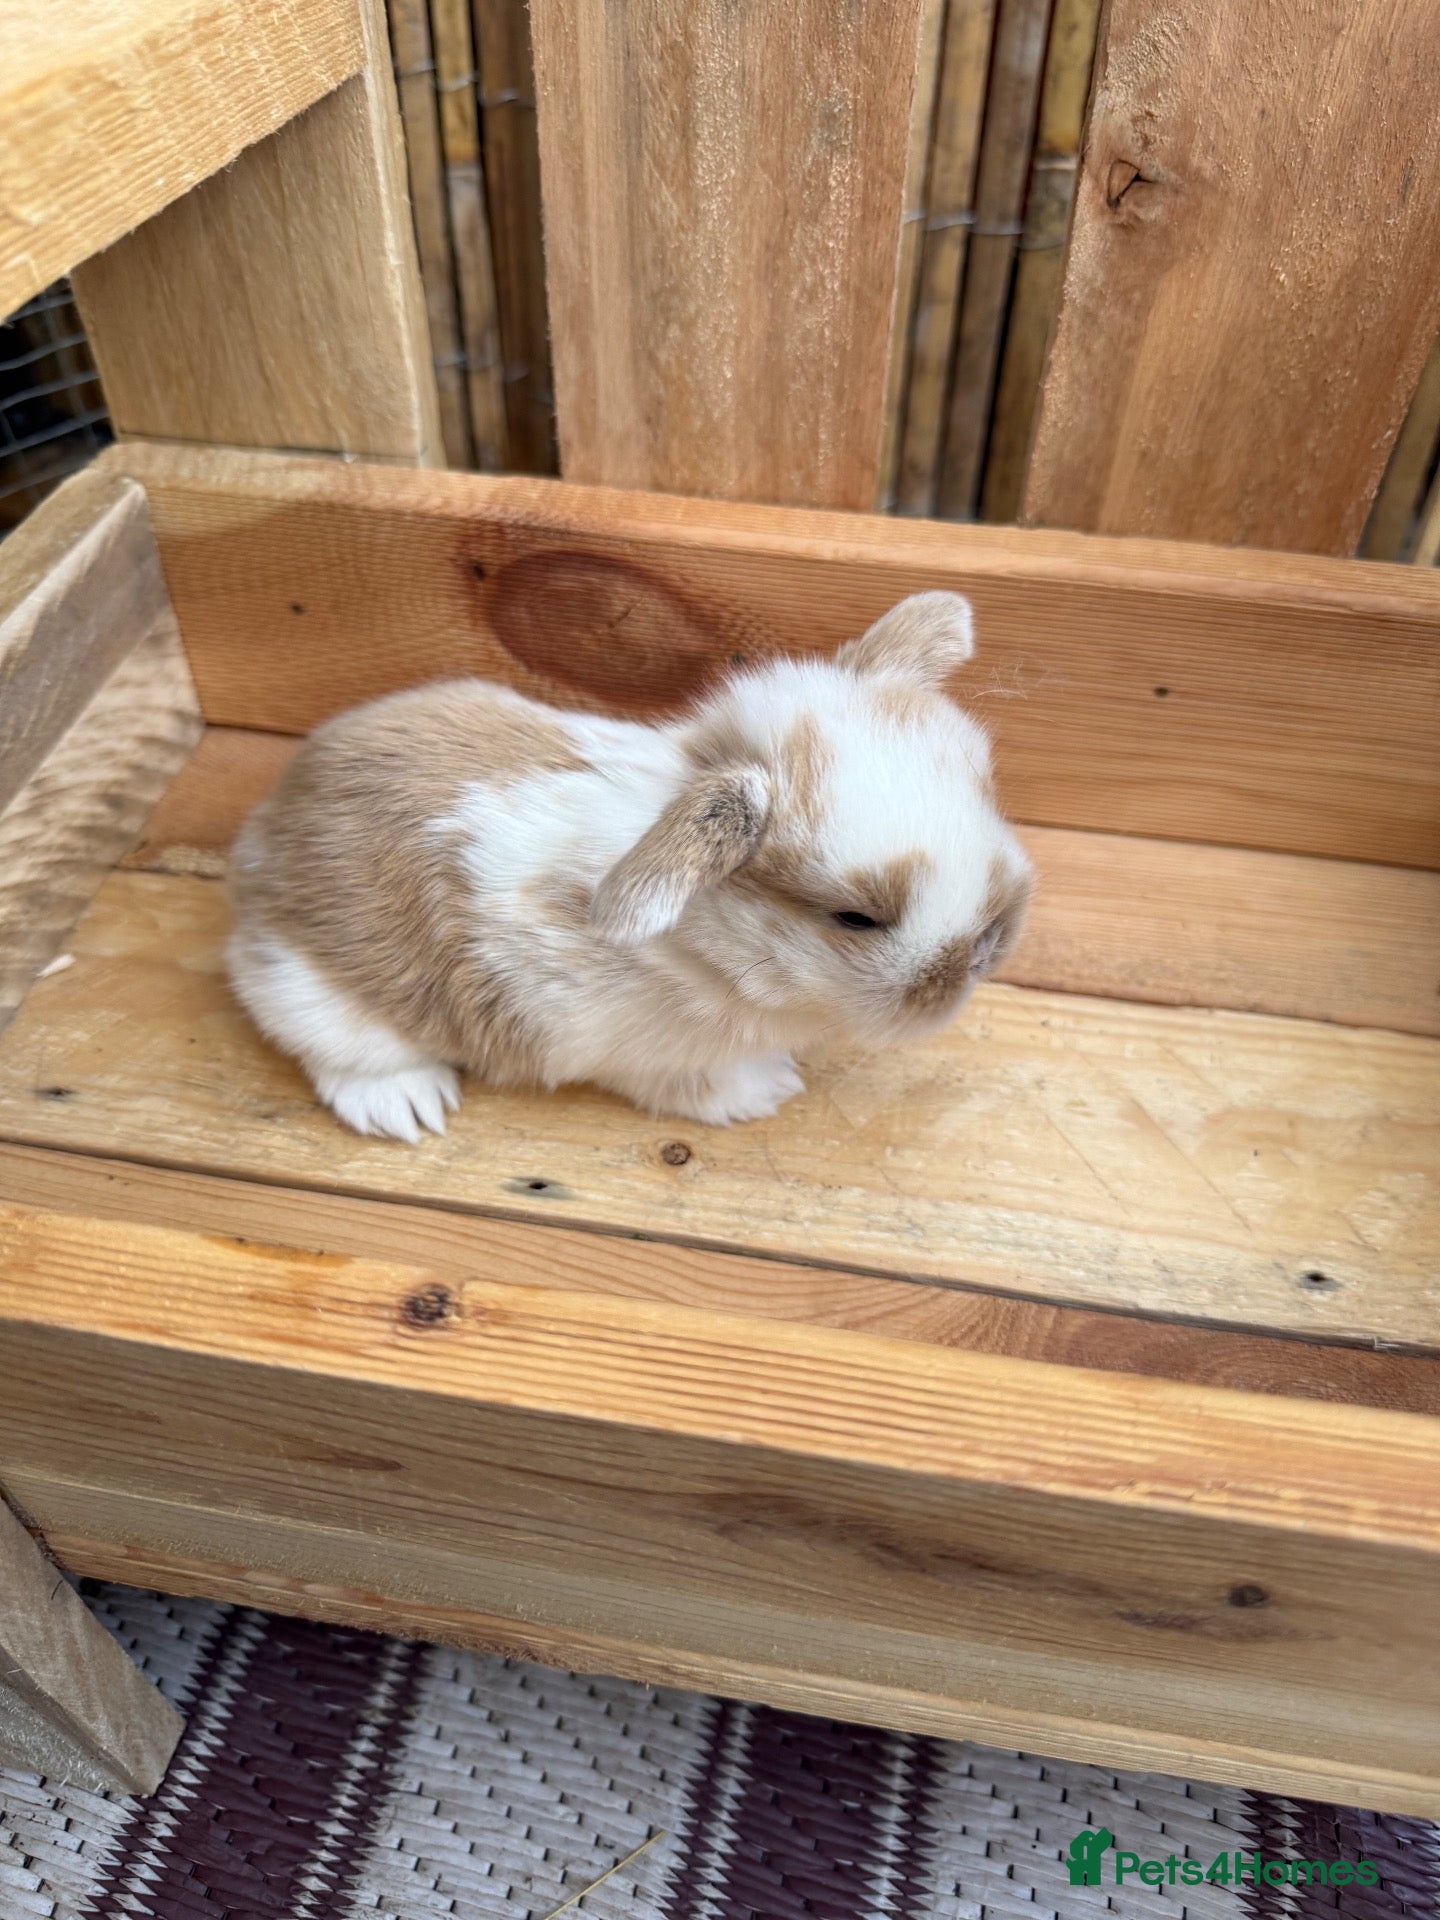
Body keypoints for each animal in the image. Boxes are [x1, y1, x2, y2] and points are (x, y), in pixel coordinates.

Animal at [226, 590, 1033, 1140]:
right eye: (856, 918)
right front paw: (769, 1089)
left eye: (986, 789)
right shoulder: (651, 1055)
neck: (707, 942)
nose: (987, 949)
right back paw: (407, 1104)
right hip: (310, 994)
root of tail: (262, 838)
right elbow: (700, 1085)